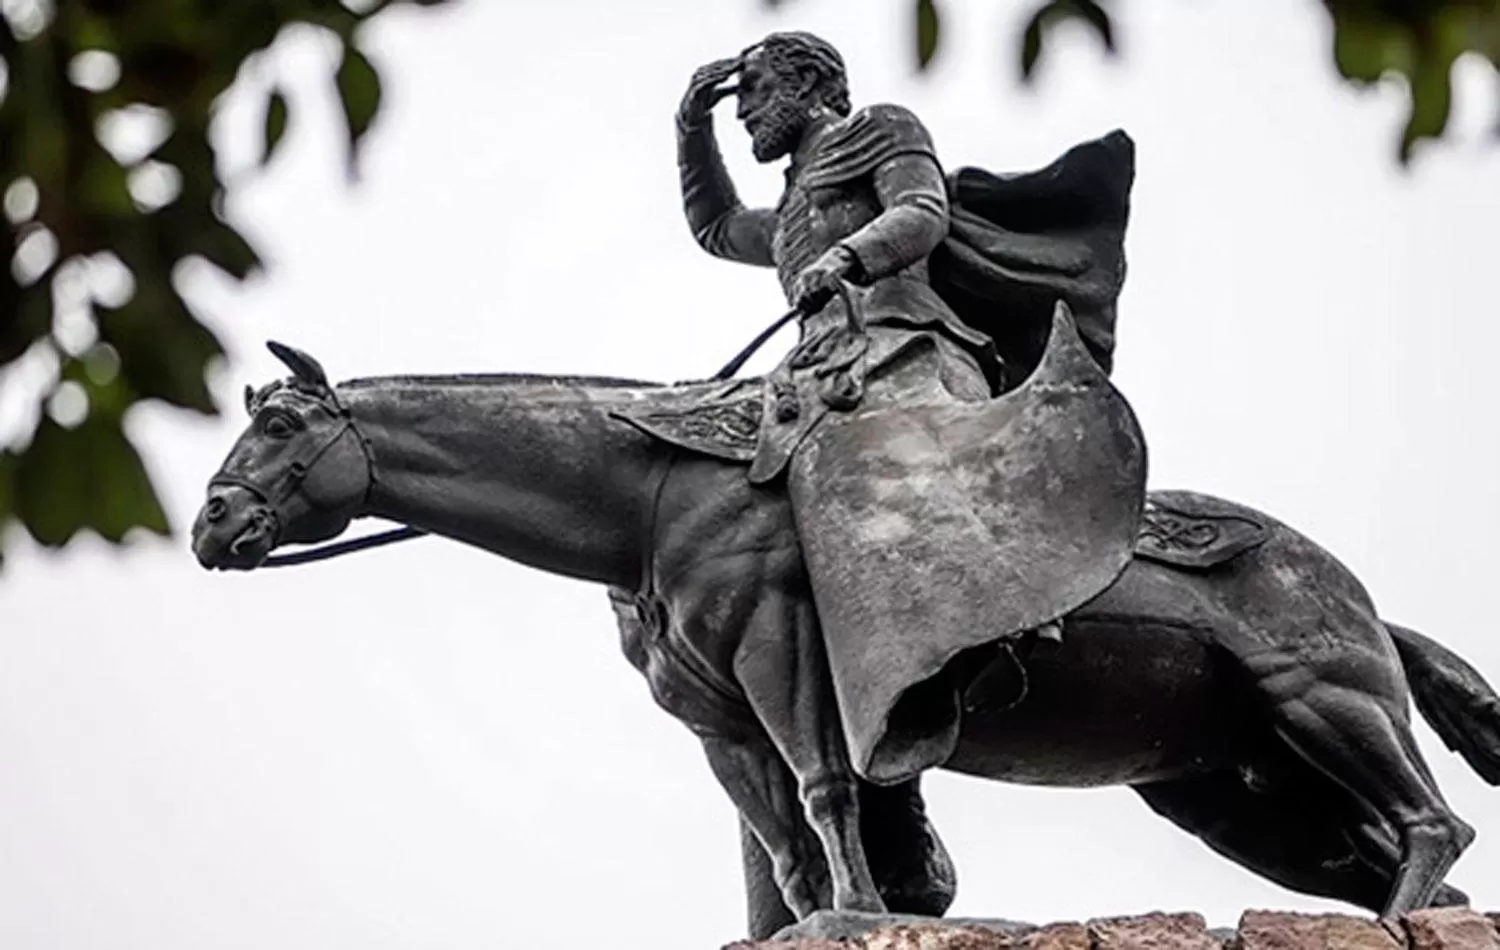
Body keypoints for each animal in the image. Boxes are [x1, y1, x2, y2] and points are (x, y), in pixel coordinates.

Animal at [187, 330, 1500, 936]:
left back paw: (1402, 919)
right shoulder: (717, 718)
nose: (211, 523)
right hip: (1240, 785)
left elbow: (825, 794)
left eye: (280, 428)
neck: (653, 498)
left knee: (1436, 822)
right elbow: (777, 839)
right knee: (1411, 846)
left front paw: (858, 910)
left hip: (1324, 701)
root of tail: (1356, 592)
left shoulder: (782, 655)